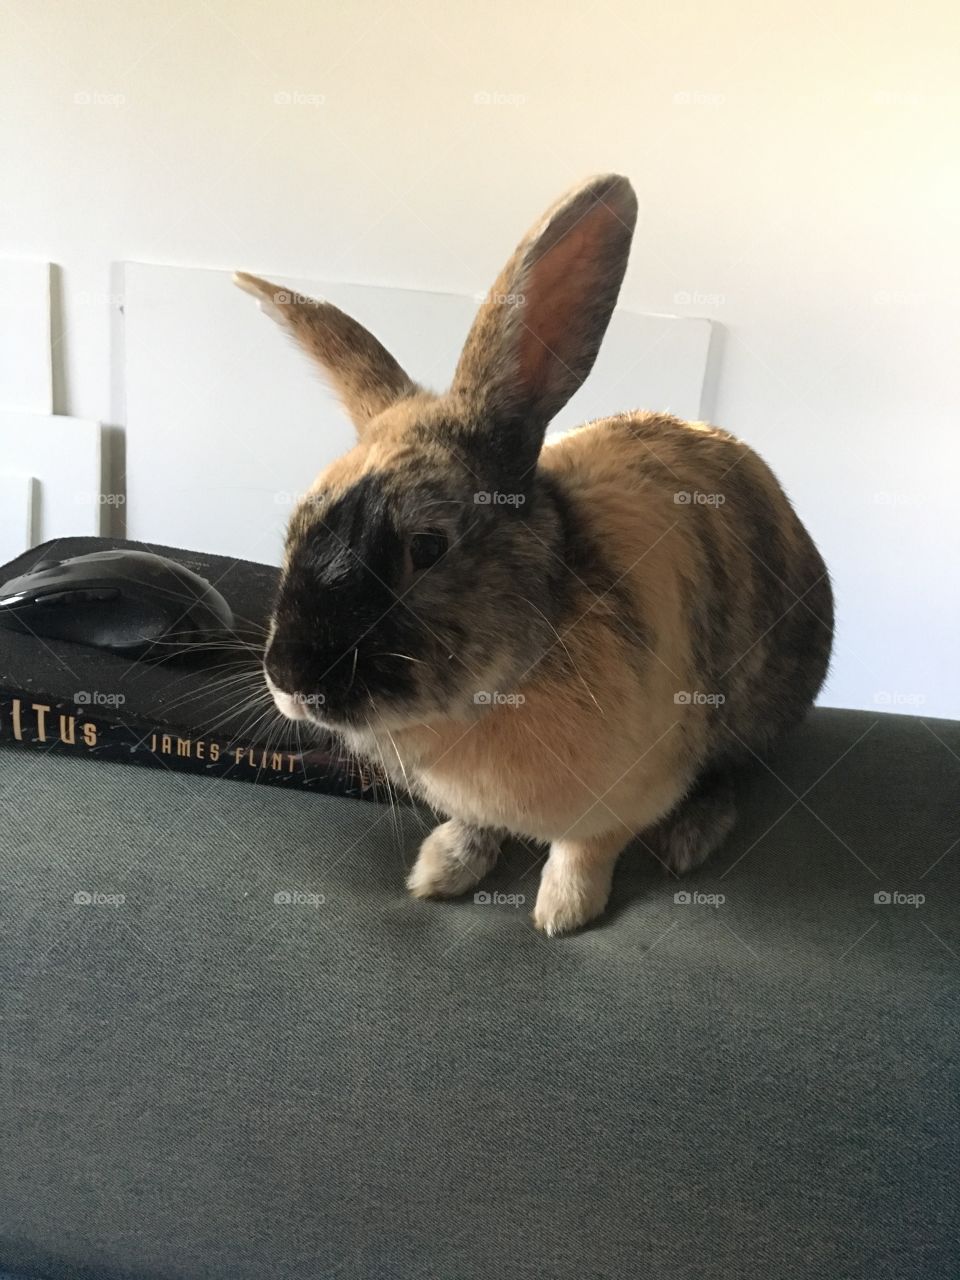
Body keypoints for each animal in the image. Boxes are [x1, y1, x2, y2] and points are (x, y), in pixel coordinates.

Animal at [234, 172, 833, 936]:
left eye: (426, 548)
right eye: (294, 530)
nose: (291, 680)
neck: (501, 687)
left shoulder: (629, 791)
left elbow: (586, 849)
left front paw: (561, 914)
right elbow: (474, 825)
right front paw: (440, 872)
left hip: (763, 706)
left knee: (735, 769)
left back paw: (687, 839)